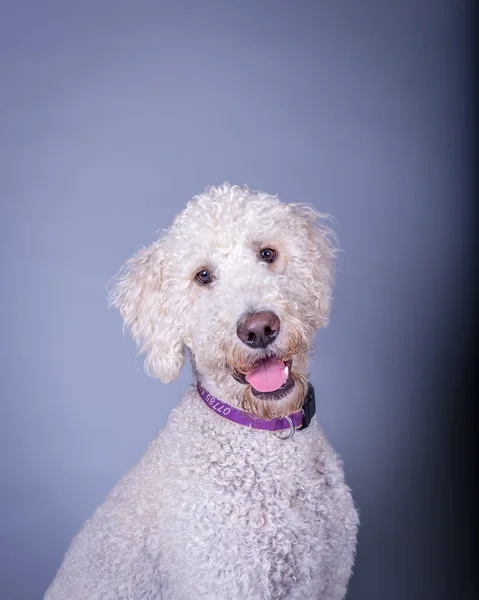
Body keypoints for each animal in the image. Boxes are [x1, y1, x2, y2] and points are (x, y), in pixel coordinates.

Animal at [46, 184, 360, 600]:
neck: (265, 436)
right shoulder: (227, 581)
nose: (259, 328)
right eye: (203, 276)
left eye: (267, 253)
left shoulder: (329, 578)